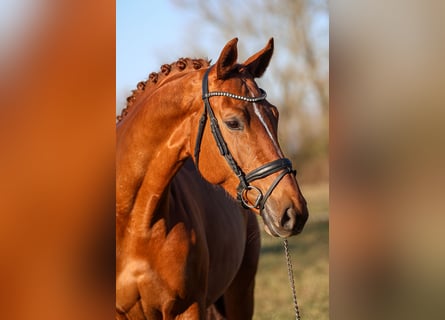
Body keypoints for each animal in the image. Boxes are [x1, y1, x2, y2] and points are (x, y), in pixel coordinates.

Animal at [116, 38, 306, 318]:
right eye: (233, 122)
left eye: (275, 114)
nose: (294, 212)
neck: (135, 225)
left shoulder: (189, 307)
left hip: (240, 294)